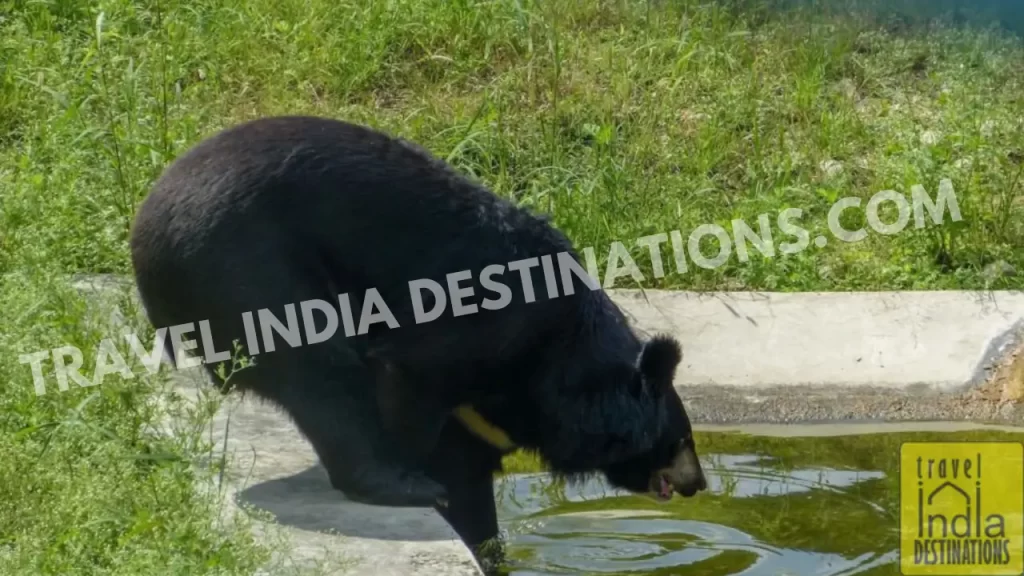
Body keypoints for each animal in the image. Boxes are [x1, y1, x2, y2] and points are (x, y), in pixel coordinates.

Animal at [125, 114, 704, 522]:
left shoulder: (490, 405)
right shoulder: (486, 329)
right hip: (247, 273)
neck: (560, 354)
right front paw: (422, 476)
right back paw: (395, 484)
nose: (699, 484)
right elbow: (412, 380)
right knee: (320, 373)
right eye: (679, 441)